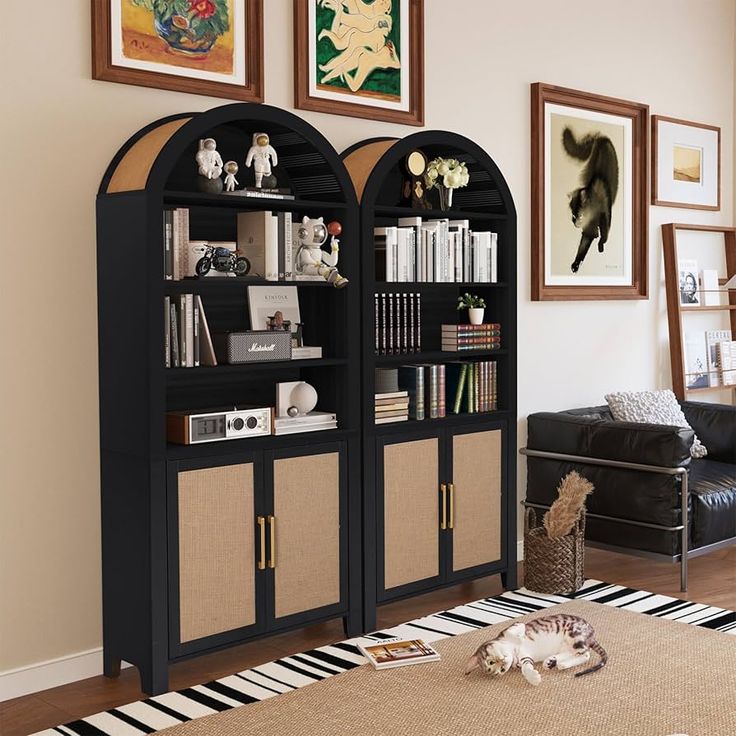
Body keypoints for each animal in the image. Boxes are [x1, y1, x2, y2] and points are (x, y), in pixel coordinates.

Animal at [466, 616, 608, 684]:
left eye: (490, 662)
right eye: (500, 671)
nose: (503, 665)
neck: (513, 651)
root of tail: (591, 635)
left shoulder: (514, 626)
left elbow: (517, 630)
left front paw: (519, 637)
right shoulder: (525, 659)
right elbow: (526, 668)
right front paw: (533, 678)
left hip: (573, 634)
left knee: (585, 654)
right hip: (569, 644)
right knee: (582, 654)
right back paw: (554, 662)